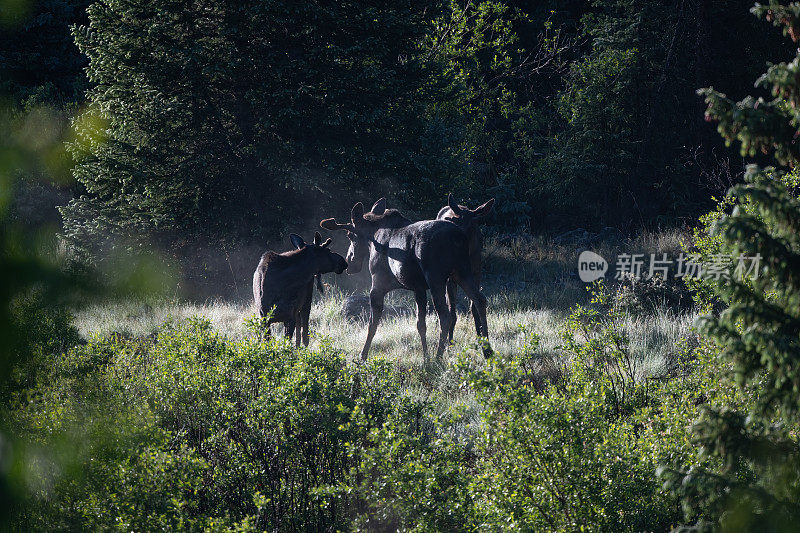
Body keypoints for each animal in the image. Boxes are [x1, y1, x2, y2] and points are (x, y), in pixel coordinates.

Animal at [320, 197, 488, 360]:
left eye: (350, 235)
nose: (349, 260)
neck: (372, 237)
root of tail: (458, 237)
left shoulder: (378, 285)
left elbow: (372, 324)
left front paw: (363, 355)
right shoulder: (418, 288)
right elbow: (421, 324)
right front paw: (425, 358)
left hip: (437, 278)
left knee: (446, 316)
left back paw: (439, 357)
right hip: (464, 272)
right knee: (479, 300)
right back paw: (487, 350)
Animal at [438, 194, 494, 340]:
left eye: (471, 226)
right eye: (454, 223)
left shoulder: (477, 272)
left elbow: (474, 305)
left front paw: (480, 335)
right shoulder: (450, 278)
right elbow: (452, 311)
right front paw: (450, 340)